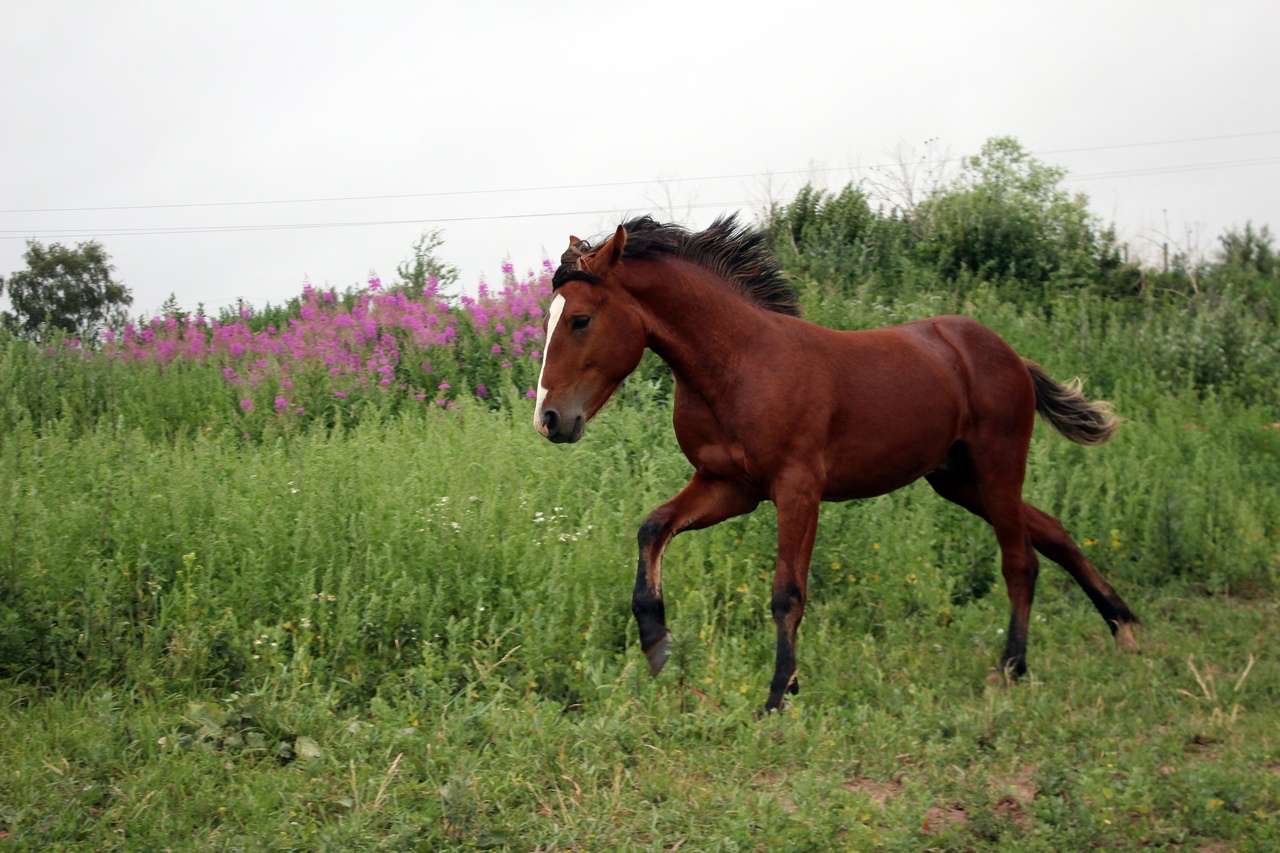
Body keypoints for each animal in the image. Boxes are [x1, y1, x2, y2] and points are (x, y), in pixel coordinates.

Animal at [533, 213, 1140, 713]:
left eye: (580, 320)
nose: (550, 419)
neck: (739, 364)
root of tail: (1008, 353)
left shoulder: (798, 487)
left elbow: (787, 593)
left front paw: (779, 695)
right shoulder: (729, 486)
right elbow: (653, 528)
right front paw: (658, 646)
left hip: (997, 464)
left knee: (1020, 560)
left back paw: (1012, 667)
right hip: (957, 479)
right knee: (1052, 531)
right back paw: (1125, 629)